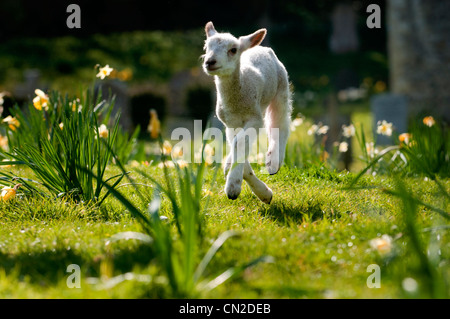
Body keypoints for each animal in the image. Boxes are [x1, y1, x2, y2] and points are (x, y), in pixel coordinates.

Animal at [201, 21, 292, 204]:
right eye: (206, 47)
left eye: (233, 50)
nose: (209, 62)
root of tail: (261, 47)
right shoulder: (230, 122)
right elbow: (237, 144)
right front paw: (263, 193)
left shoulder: (254, 118)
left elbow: (240, 142)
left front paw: (233, 187)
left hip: (281, 87)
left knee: (280, 123)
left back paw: (273, 162)